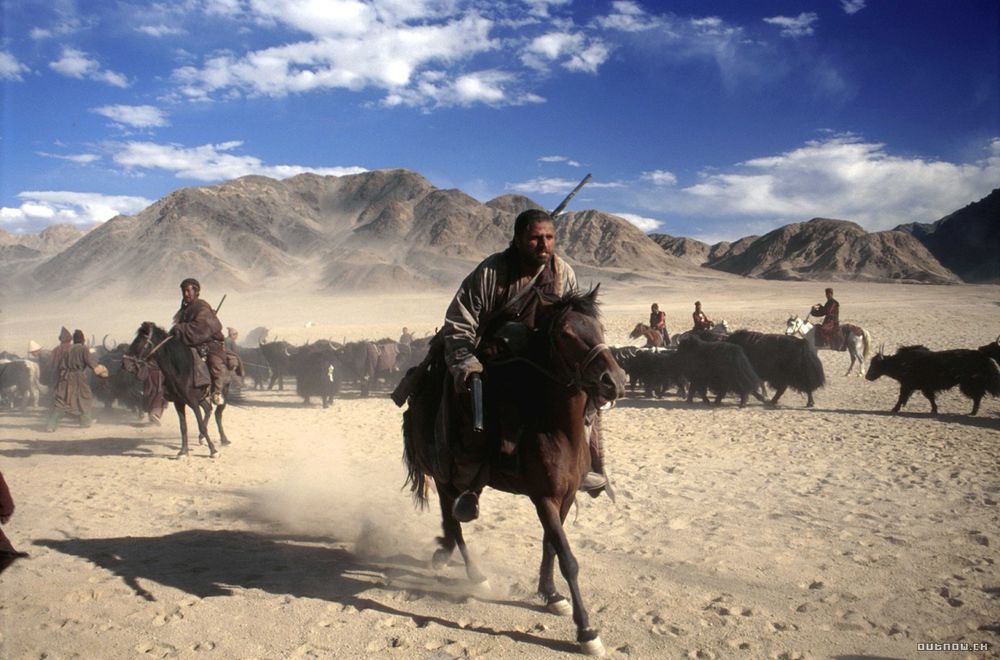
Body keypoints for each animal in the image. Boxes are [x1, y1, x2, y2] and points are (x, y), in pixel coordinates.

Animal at [124, 320, 231, 456]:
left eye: (138, 341)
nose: (125, 363)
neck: (180, 369)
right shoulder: (179, 402)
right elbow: (183, 427)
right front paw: (183, 451)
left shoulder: (193, 402)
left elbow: (201, 425)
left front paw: (213, 451)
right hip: (201, 398)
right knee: (208, 409)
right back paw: (201, 438)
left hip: (222, 392)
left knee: (218, 414)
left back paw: (224, 439)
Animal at [400, 288, 624, 656]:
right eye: (566, 334)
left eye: (599, 327)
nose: (615, 381)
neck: (555, 427)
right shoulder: (543, 497)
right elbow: (568, 558)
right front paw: (586, 630)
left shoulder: (564, 497)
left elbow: (550, 545)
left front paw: (550, 594)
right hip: (445, 477)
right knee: (456, 525)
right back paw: (475, 575)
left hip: (459, 480)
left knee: (453, 517)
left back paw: (443, 552)